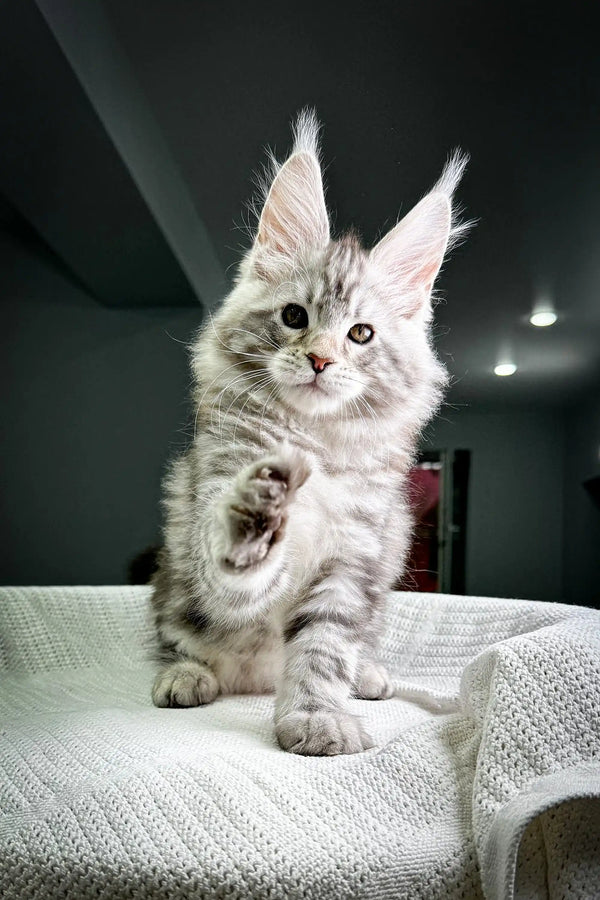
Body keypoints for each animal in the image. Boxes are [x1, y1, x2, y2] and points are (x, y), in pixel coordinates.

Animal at [150, 114, 468, 760]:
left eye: (360, 333)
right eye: (295, 317)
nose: (320, 360)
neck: (314, 440)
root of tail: (254, 677)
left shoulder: (354, 553)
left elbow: (322, 649)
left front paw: (319, 717)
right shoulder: (208, 500)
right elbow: (236, 566)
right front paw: (258, 507)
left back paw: (366, 674)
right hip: (172, 575)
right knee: (174, 633)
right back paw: (186, 674)